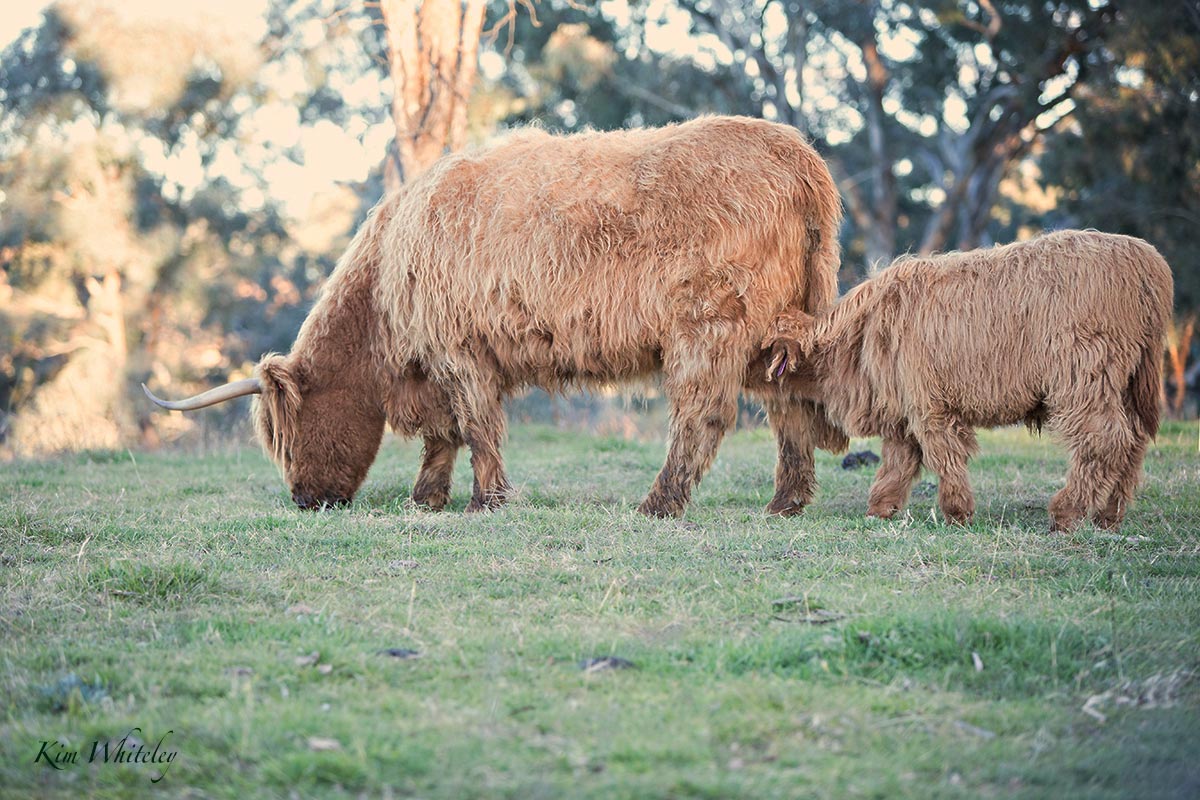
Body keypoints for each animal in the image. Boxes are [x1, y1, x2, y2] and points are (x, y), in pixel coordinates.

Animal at [147, 117, 844, 520]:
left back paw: (659, 503)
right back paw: (785, 502)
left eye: (287, 439)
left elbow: (475, 426)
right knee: (787, 407)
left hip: (710, 323)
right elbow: (444, 435)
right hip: (774, 331)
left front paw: (487, 500)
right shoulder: (438, 364)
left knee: (703, 414)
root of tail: (797, 155)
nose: (303, 501)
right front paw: (427, 499)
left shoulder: (458, 350)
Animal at [768, 231, 1171, 532]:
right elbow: (898, 462)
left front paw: (957, 512)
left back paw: (1067, 513)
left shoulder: (929, 405)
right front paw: (880, 509)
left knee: (1103, 439)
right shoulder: (904, 411)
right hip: (1129, 383)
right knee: (1133, 441)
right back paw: (1109, 515)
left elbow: (942, 455)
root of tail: (1144, 259)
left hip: (1084, 379)